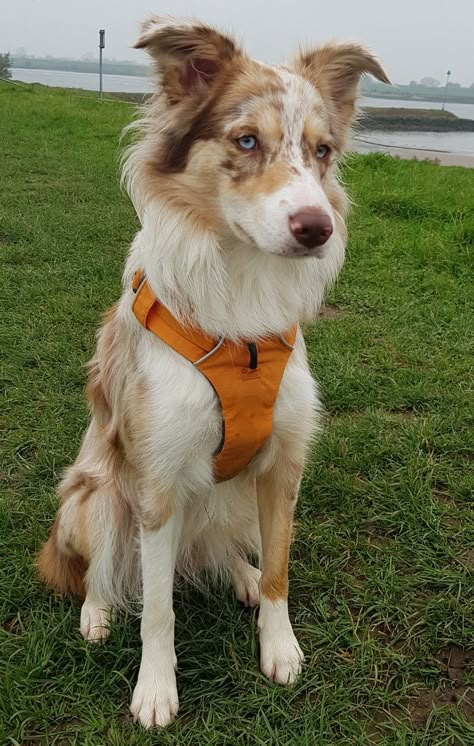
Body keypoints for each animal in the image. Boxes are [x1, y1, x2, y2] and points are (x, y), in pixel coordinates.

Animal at [37, 16, 388, 728]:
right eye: (246, 140)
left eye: (322, 152)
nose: (317, 227)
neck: (243, 313)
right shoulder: (158, 483)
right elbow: (158, 608)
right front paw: (155, 688)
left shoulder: (283, 463)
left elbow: (280, 568)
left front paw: (279, 646)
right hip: (94, 495)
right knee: (100, 570)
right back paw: (96, 613)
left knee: (220, 550)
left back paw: (239, 576)